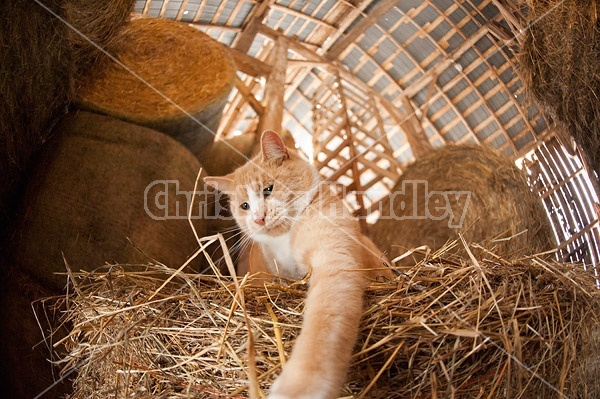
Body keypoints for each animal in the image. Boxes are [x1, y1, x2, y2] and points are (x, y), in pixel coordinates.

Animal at [205, 130, 394, 396]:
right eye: (244, 206)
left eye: (268, 190)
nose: (259, 218)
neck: (285, 239)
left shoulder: (335, 260)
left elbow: (324, 323)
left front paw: (302, 383)